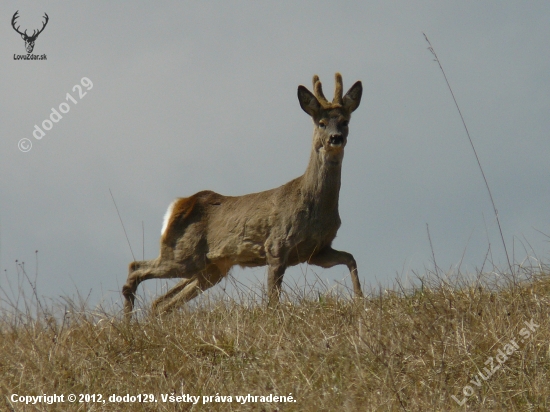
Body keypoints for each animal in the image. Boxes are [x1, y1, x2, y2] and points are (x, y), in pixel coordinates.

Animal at [125, 73, 366, 316]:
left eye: (345, 121)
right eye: (321, 123)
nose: (336, 138)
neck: (314, 205)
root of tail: (178, 205)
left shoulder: (316, 252)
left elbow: (351, 259)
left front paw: (360, 300)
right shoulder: (277, 245)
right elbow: (273, 297)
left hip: (211, 268)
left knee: (161, 302)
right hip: (183, 255)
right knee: (135, 269)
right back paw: (128, 320)